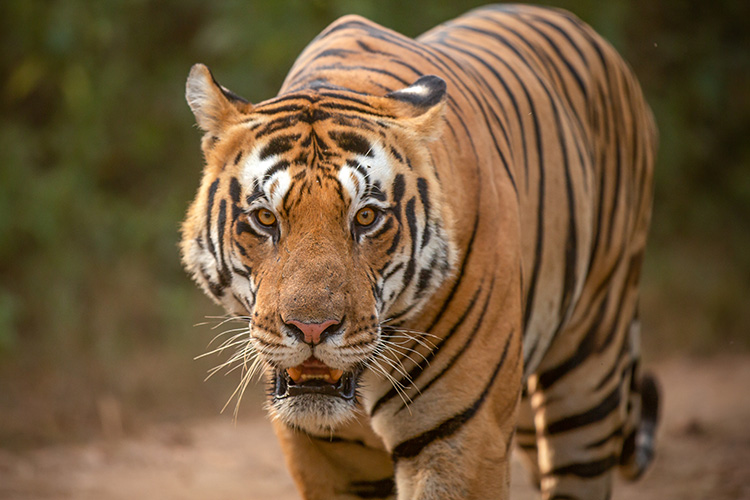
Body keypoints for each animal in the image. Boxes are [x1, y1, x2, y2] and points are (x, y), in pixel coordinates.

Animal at [184, 4, 664, 500]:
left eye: (365, 218)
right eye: (265, 219)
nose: (312, 329)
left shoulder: (461, 436)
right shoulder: (325, 454)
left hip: (589, 369)